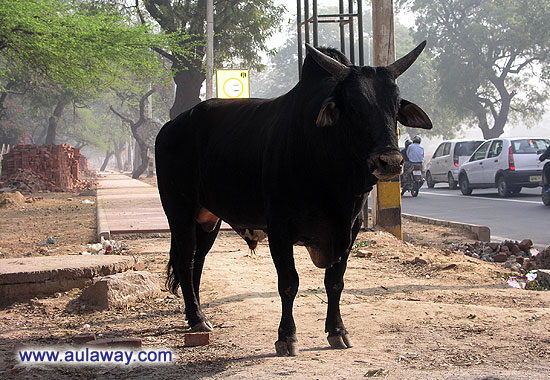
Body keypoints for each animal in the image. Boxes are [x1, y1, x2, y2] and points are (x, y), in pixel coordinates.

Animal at [156, 42, 436, 356]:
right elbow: (289, 283)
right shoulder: (279, 228)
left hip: (208, 219)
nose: (390, 161)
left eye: (395, 105)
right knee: (186, 261)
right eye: (353, 107)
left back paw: (198, 315)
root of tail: (170, 126)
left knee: (198, 261)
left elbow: (335, 282)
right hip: (179, 211)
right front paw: (286, 336)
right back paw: (196, 318)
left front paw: (338, 331)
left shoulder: (350, 229)